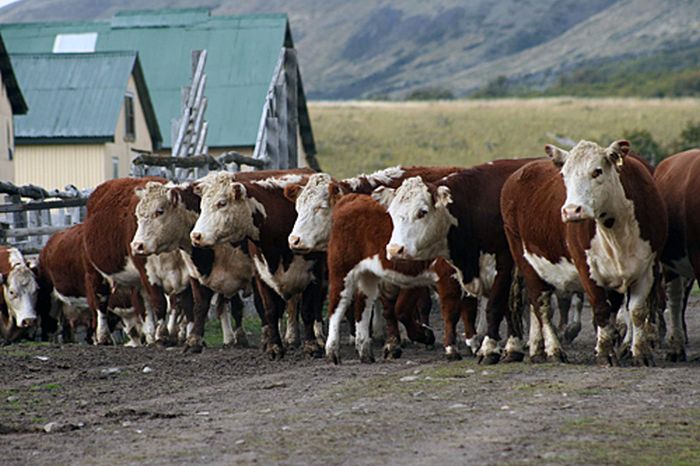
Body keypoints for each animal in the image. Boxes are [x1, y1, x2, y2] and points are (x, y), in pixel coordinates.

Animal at [189, 171, 326, 360]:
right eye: (202, 205)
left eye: (222, 203)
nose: (196, 236)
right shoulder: (262, 273)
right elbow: (270, 310)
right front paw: (274, 347)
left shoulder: (314, 274)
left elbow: (307, 310)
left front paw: (312, 346)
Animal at [378, 158, 536, 362]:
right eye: (391, 212)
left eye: (422, 212)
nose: (394, 249)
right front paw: (511, 348)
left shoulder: (504, 264)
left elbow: (495, 306)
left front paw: (489, 349)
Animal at [498, 140, 668, 366]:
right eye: (564, 174)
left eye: (597, 171)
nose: (571, 211)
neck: (618, 230)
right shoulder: (586, 267)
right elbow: (601, 309)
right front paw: (605, 353)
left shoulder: (647, 268)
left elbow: (637, 311)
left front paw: (641, 353)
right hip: (524, 257)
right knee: (541, 304)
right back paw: (553, 350)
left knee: (535, 306)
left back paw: (536, 350)